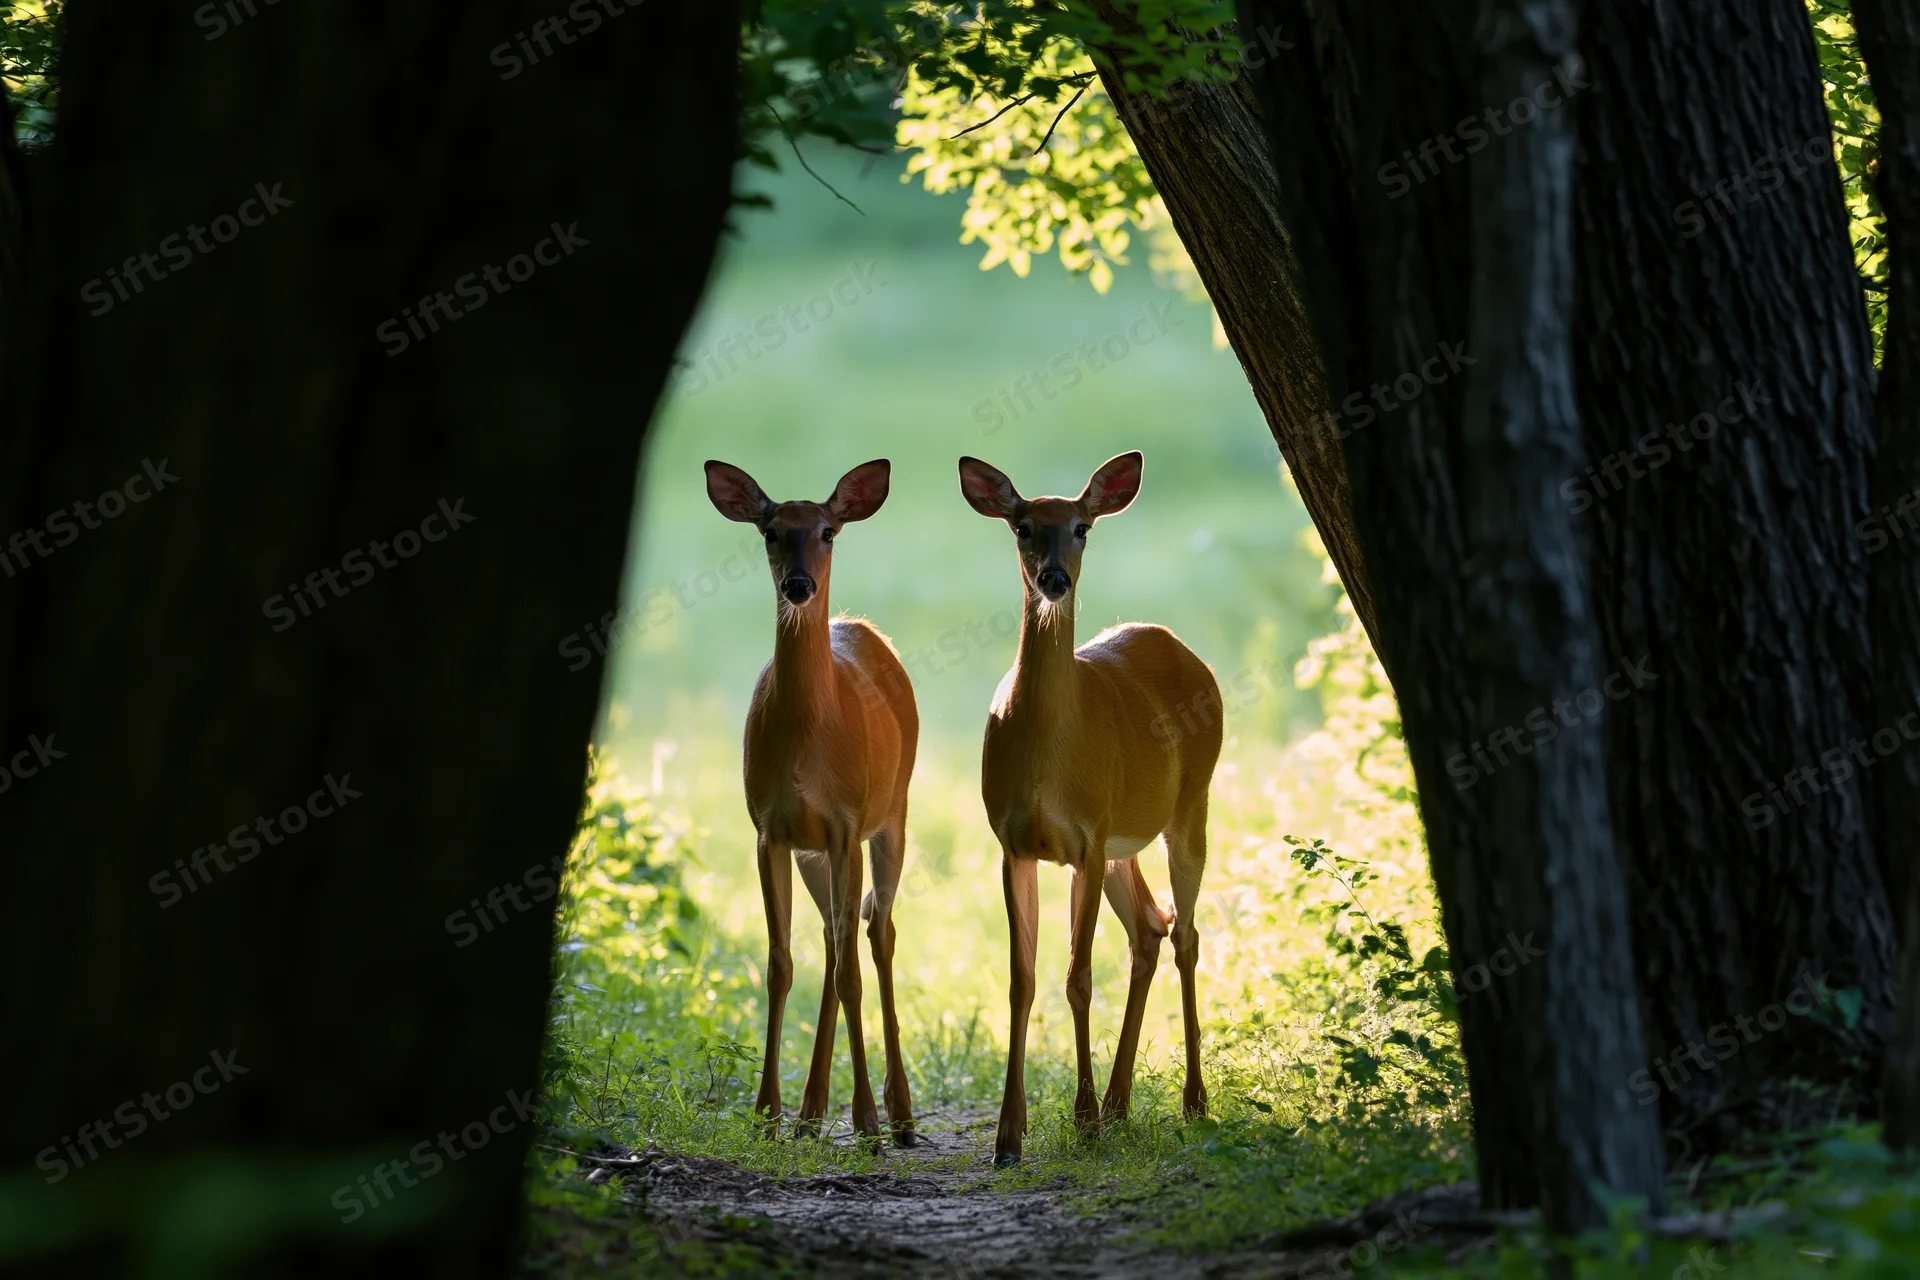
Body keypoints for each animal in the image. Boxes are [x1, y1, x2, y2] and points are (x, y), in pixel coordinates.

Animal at [704, 458, 919, 1145]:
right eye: (770, 530)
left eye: (828, 531)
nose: (798, 585)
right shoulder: (769, 829)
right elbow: (779, 964)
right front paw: (767, 1112)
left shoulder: (847, 824)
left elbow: (852, 967)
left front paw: (869, 1121)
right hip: (814, 852)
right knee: (832, 934)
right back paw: (811, 1109)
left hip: (893, 813)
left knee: (876, 932)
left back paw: (899, 1115)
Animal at [957, 451, 1221, 1166]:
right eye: (1022, 526)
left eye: (1081, 526)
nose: (1054, 578)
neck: (1049, 758)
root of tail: (1180, 645)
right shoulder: (1013, 844)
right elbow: (1021, 979)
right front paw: (1009, 1135)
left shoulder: (1086, 840)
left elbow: (1077, 978)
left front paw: (1079, 1120)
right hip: (1122, 843)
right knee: (1150, 929)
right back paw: (1121, 1103)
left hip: (1190, 803)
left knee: (1185, 935)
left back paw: (1191, 1102)